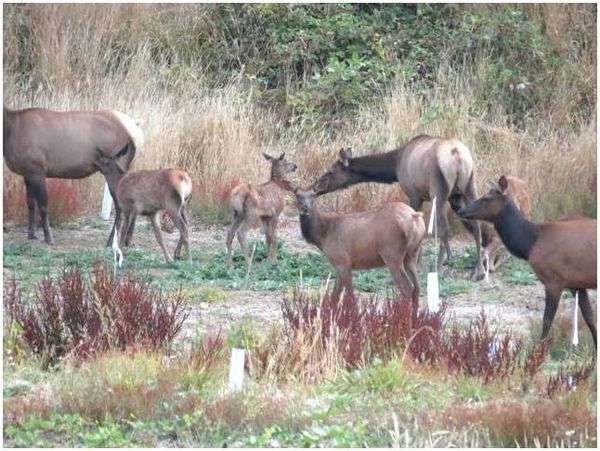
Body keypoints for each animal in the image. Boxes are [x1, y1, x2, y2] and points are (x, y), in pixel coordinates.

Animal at [2, 106, 142, 245]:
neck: (9, 132)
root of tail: (137, 132)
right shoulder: (27, 172)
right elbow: (30, 204)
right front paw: (31, 234)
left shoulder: (37, 169)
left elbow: (43, 206)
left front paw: (49, 238)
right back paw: (128, 240)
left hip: (114, 170)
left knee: (120, 206)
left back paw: (112, 241)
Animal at [292, 186, 424, 314]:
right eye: (297, 196)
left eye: (313, 196)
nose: (305, 208)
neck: (323, 236)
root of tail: (414, 216)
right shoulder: (339, 264)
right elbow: (335, 296)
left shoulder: (341, 260)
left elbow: (349, 295)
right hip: (412, 254)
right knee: (417, 288)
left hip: (392, 253)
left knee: (408, 288)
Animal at [312, 136, 486, 280]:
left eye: (331, 170)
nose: (315, 187)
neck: (394, 167)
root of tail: (457, 155)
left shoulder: (414, 194)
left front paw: (417, 262)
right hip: (466, 188)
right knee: (476, 226)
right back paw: (478, 270)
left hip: (439, 190)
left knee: (444, 228)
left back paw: (441, 264)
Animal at [460, 176, 596, 346]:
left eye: (487, 198)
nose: (461, 211)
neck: (530, 244)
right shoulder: (576, 283)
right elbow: (590, 318)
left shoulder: (553, 280)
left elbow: (547, 320)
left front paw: (539, 349)